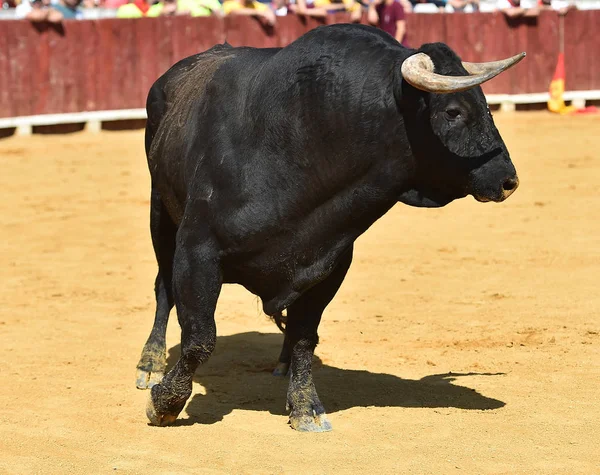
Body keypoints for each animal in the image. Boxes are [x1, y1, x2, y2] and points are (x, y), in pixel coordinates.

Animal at [136, 23, 524, 432]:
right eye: (453, 111)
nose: (508, 180)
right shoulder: (198, 251)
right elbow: (199, 337)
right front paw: (164, 402)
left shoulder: (327, 262)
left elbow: (306, 337)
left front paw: (306, 407)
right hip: (160, 211)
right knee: (163, 288)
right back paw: (149, 363)